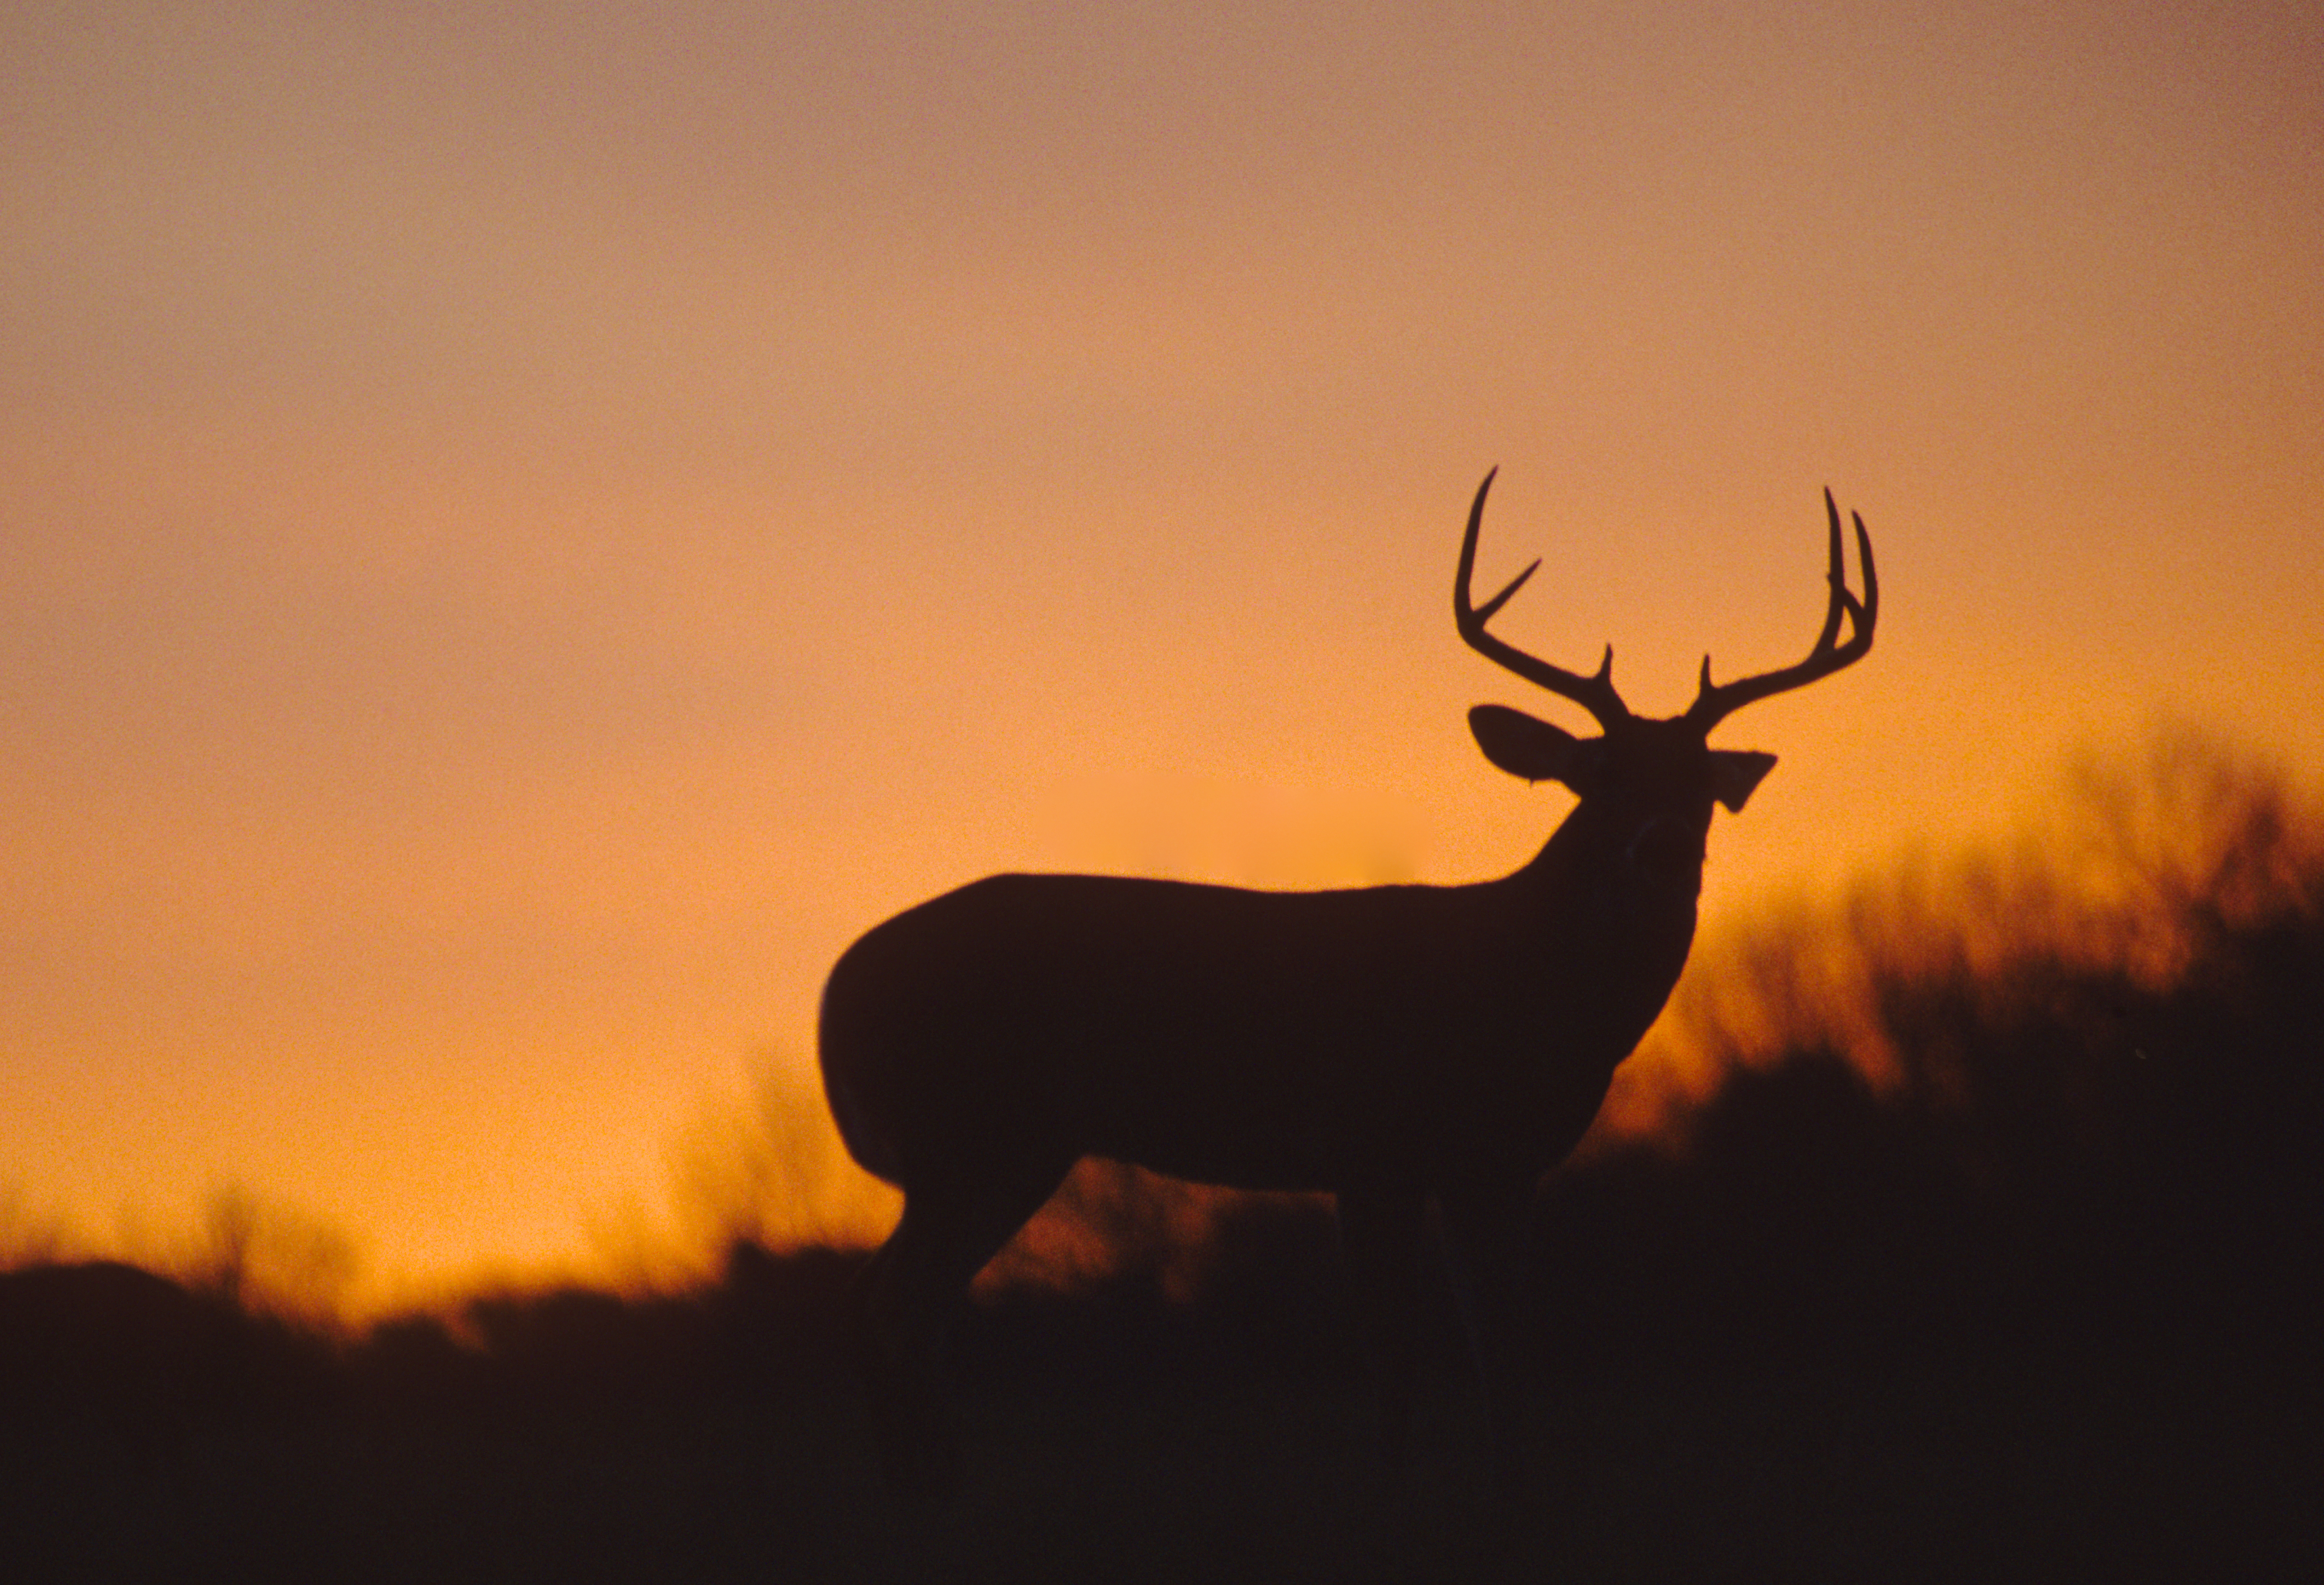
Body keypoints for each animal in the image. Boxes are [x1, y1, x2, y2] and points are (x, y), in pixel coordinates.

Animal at [819, 469, 1877, 1497]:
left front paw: (1505, 1491)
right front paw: (1395, 1496)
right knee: (892, 1310)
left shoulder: (1489, 1167)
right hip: (976, 1137)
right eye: (1600, 775)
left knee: (888, 1309)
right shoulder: (1383, 1148)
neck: (1523, 983)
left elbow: (1500, 1350)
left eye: (1700, 787)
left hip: (990, 1153)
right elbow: (1403, 1353)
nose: (1658, 848)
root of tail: (836, 988)